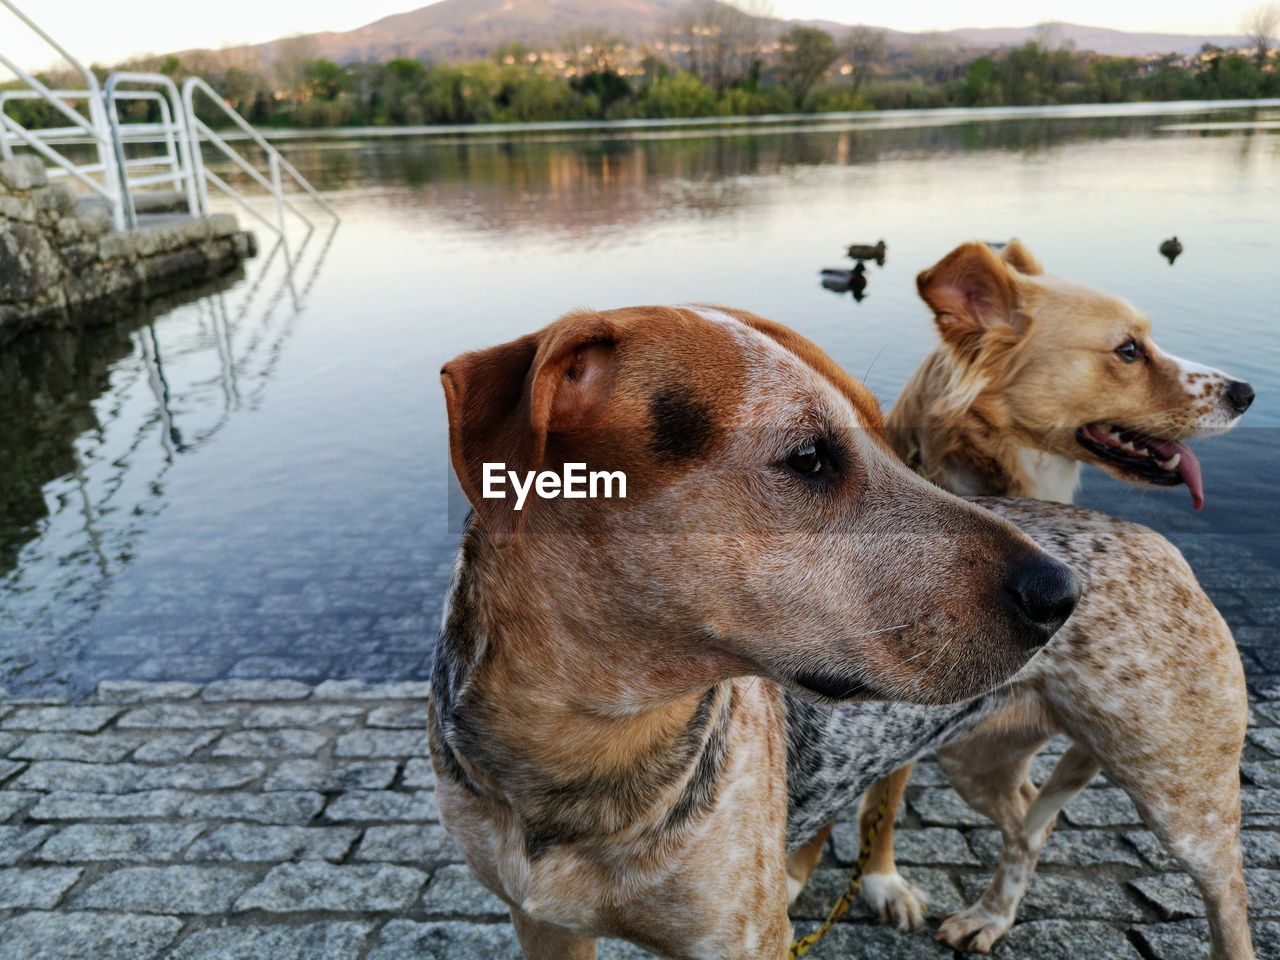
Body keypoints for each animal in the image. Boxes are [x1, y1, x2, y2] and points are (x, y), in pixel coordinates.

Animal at [834, 240, 1254, 957]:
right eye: (1128, 350)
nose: (1247, 392)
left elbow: (878, 806)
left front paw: (879, 879)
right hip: (976, 759)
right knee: (1028, 825)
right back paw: (991, 914)